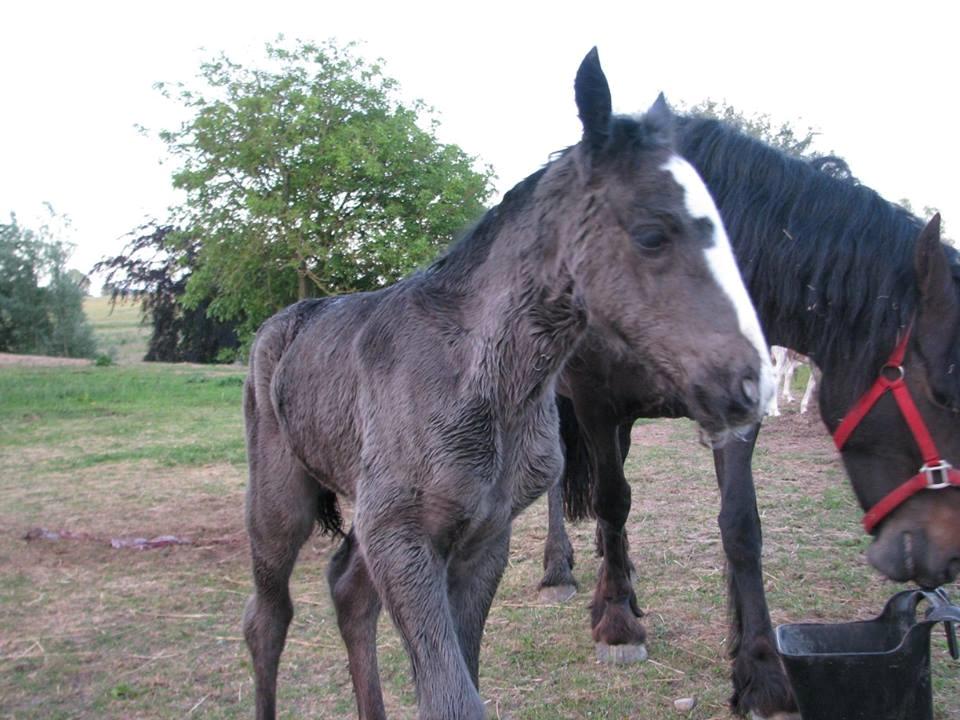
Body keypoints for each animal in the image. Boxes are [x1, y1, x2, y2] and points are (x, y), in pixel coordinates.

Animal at [246, 52, 772, 720]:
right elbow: (452, 697)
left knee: (347, 591)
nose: (750, 385)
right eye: (653, 233)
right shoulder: (400, 537)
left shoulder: (483, 537)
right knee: (267, 618)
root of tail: (281, 323)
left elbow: (459, 678)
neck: (481, 380)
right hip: (280, 503)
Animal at [544, 115, 960, 716]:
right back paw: (562, 569)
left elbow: (739, 524)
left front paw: (760, 670)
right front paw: (619, 624)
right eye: (944, 395)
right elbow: (612, 500)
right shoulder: (596, 401)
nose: (948, 558)